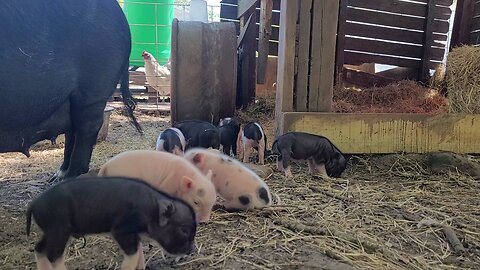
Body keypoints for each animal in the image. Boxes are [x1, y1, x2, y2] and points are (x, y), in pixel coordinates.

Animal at [0, 0, 142, 181]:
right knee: (72, 130)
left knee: (86, 128)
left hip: (93, 91)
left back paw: (67, 178)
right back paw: (57, 176)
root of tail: (122, 18)